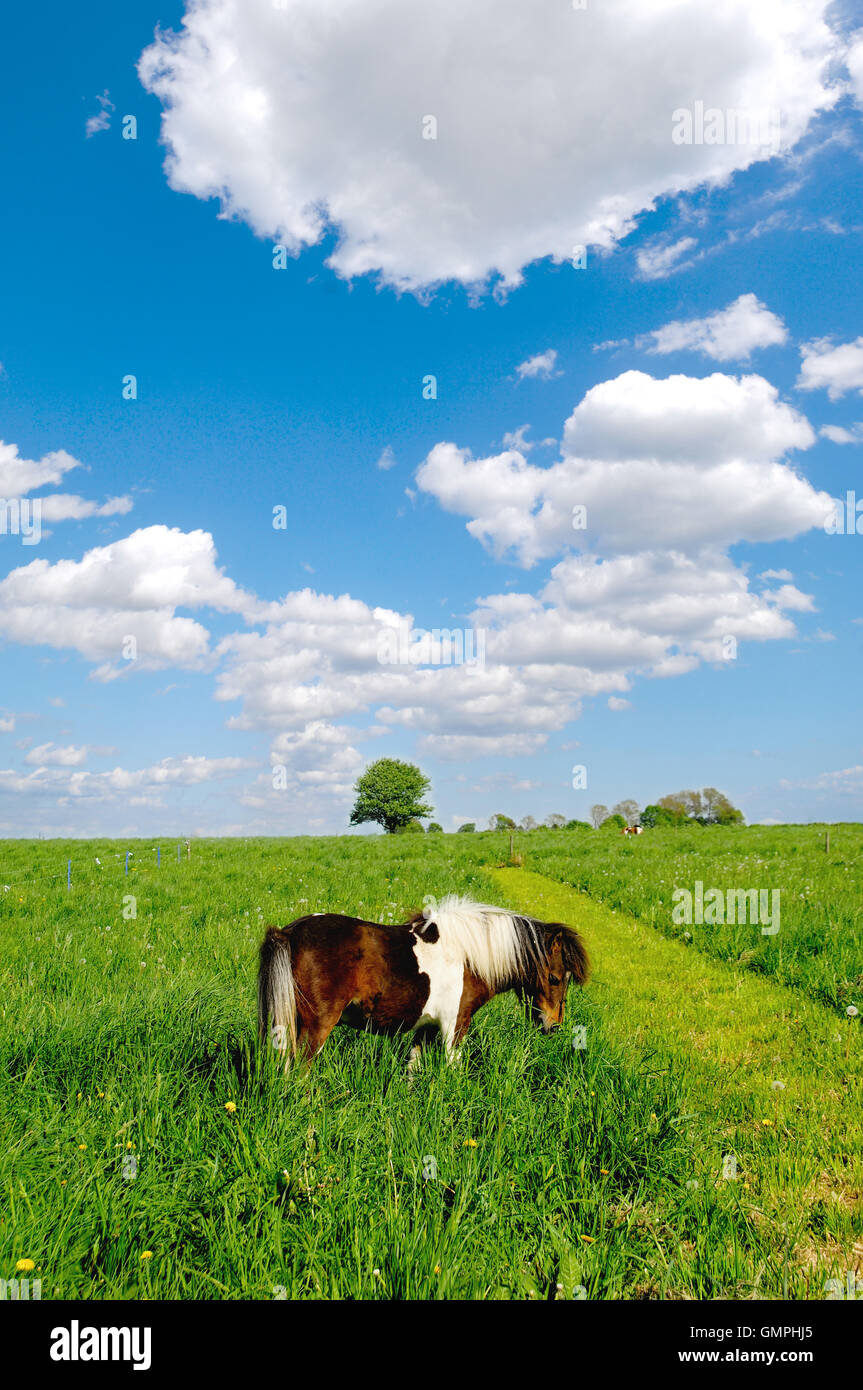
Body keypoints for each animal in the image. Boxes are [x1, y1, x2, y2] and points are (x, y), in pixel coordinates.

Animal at [255, 895, 589, 1067]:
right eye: (555, 978)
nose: (553, 1026)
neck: (469, 956)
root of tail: (289, 933)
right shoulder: (454, 1028)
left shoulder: (424, 1029)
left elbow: (412, 1071)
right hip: (316, 1029)